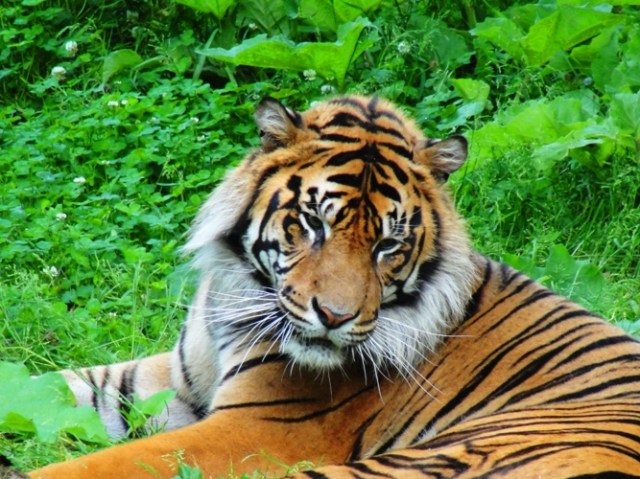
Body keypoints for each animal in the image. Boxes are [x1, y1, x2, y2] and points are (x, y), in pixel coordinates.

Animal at [27, 95, 640, 479]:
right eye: (312, 223)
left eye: (388, 245)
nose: (336, 317)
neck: (237, 296)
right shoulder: (171, 380)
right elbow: (54, 387)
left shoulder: (255, 430)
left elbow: (105, 464)